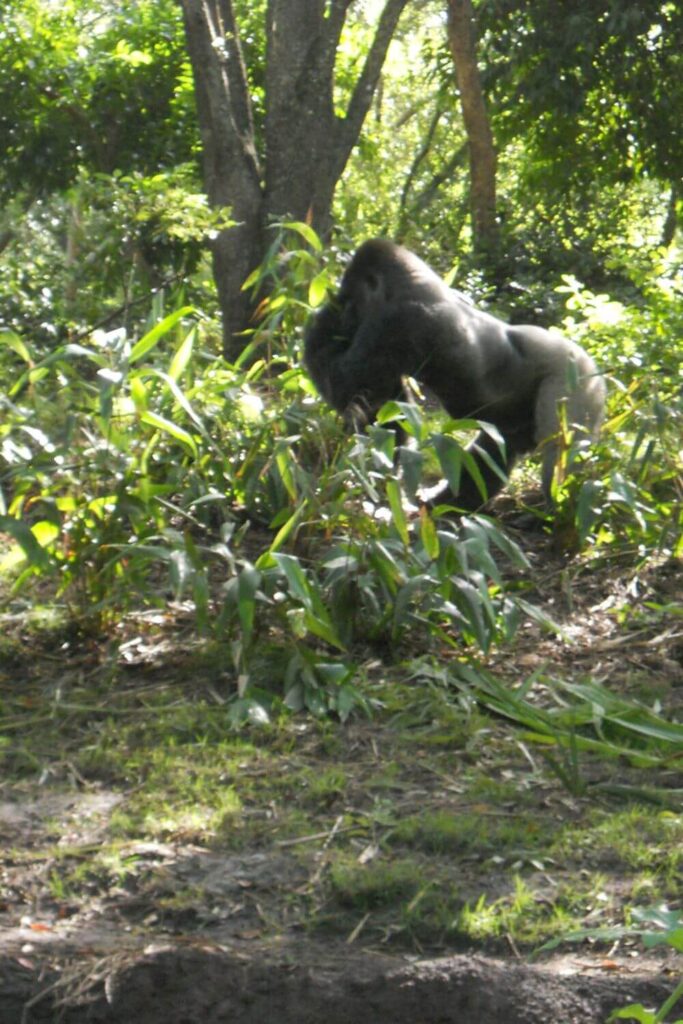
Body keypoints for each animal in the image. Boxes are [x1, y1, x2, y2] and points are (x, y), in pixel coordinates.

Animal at [307, 240, 606, 512]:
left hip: (577, 381)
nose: (345, 314)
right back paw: (449, 504)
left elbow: (347, 384)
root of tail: (596, 370)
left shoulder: (396, 322)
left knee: (559, 450)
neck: (410, 282)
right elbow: (384, 411)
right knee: (496, 447)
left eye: (351, 299)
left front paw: (323, 322)